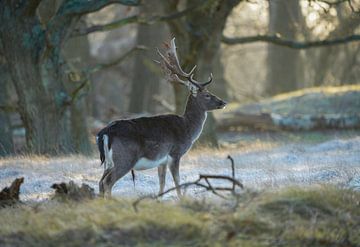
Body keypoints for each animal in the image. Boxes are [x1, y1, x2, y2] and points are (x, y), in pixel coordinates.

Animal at [95, 38, 225, 197]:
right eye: (207, 95)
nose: (223, 102)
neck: (187, 129)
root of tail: (104, 133)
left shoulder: (161, 160)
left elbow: (161, 182)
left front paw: (159, 198)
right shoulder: (175, 153)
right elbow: (177, 181)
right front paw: (181, 198)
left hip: (108, 162)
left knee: (100, 182)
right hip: (125, 157)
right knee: (108, 182)